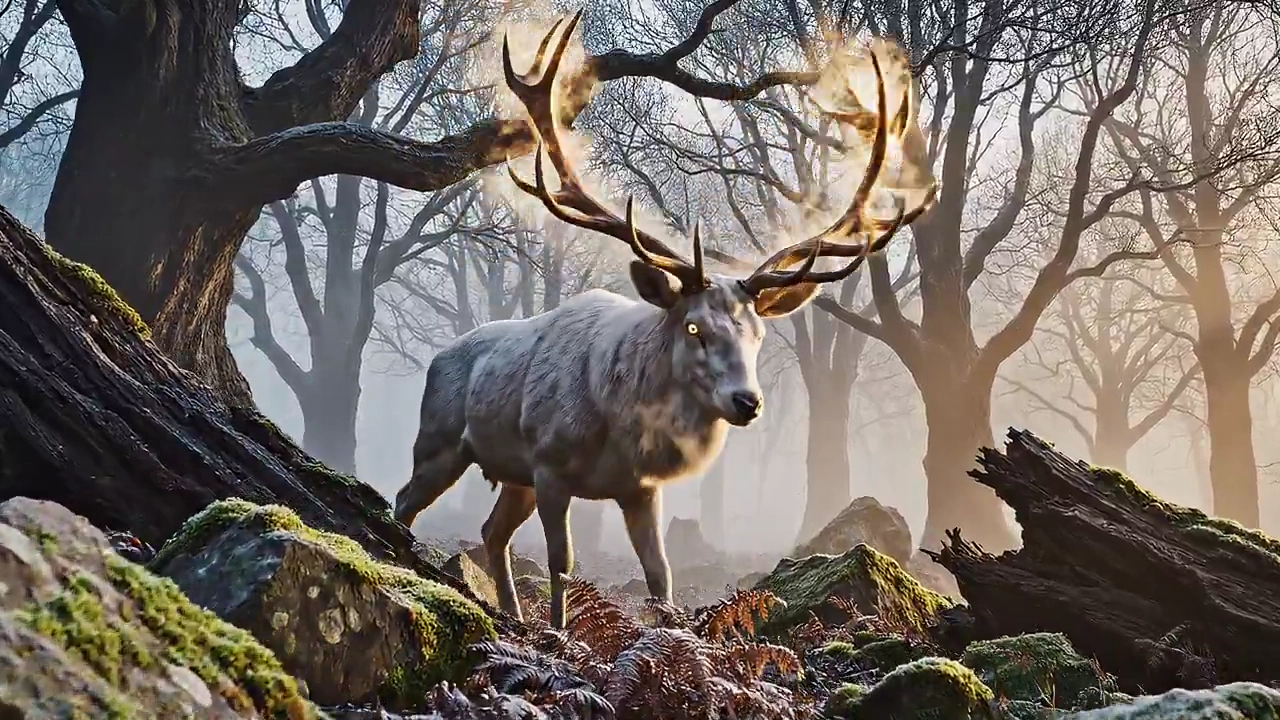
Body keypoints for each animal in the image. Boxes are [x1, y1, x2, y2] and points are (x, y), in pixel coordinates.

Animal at [393, 11, 936, 628]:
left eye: (758, 333)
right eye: (694, 326)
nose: (747, 401)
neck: (617, 426)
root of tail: (440, 356)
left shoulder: (640, 489)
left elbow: (661, 574)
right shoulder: (550, 463)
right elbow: (562, 562)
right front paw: (558, 633)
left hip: (511, 474)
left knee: (491, 530)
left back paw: (510, 612)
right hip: (440, 439)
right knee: (406, 500)